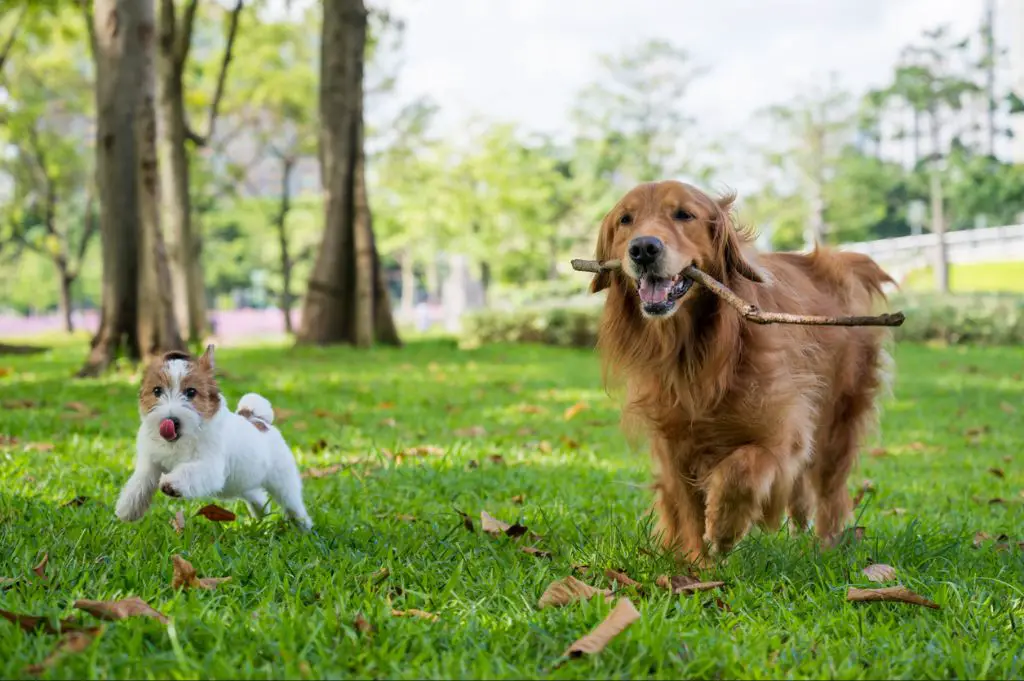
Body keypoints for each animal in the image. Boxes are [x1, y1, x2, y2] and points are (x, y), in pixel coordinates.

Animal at [115, 346, 311, 532]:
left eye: (191, 392)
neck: (183, 439)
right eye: (157, 391)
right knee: (257, 495)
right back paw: (262, 512)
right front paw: (128, 507)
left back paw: (303, 526)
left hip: (283, 482)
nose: (171, 421)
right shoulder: (152, 462)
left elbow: (188, 471)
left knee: (292, 503)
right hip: (243, 481)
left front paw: (171, 484)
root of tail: (258, 420)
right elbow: (140, 482)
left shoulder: (210, 468)